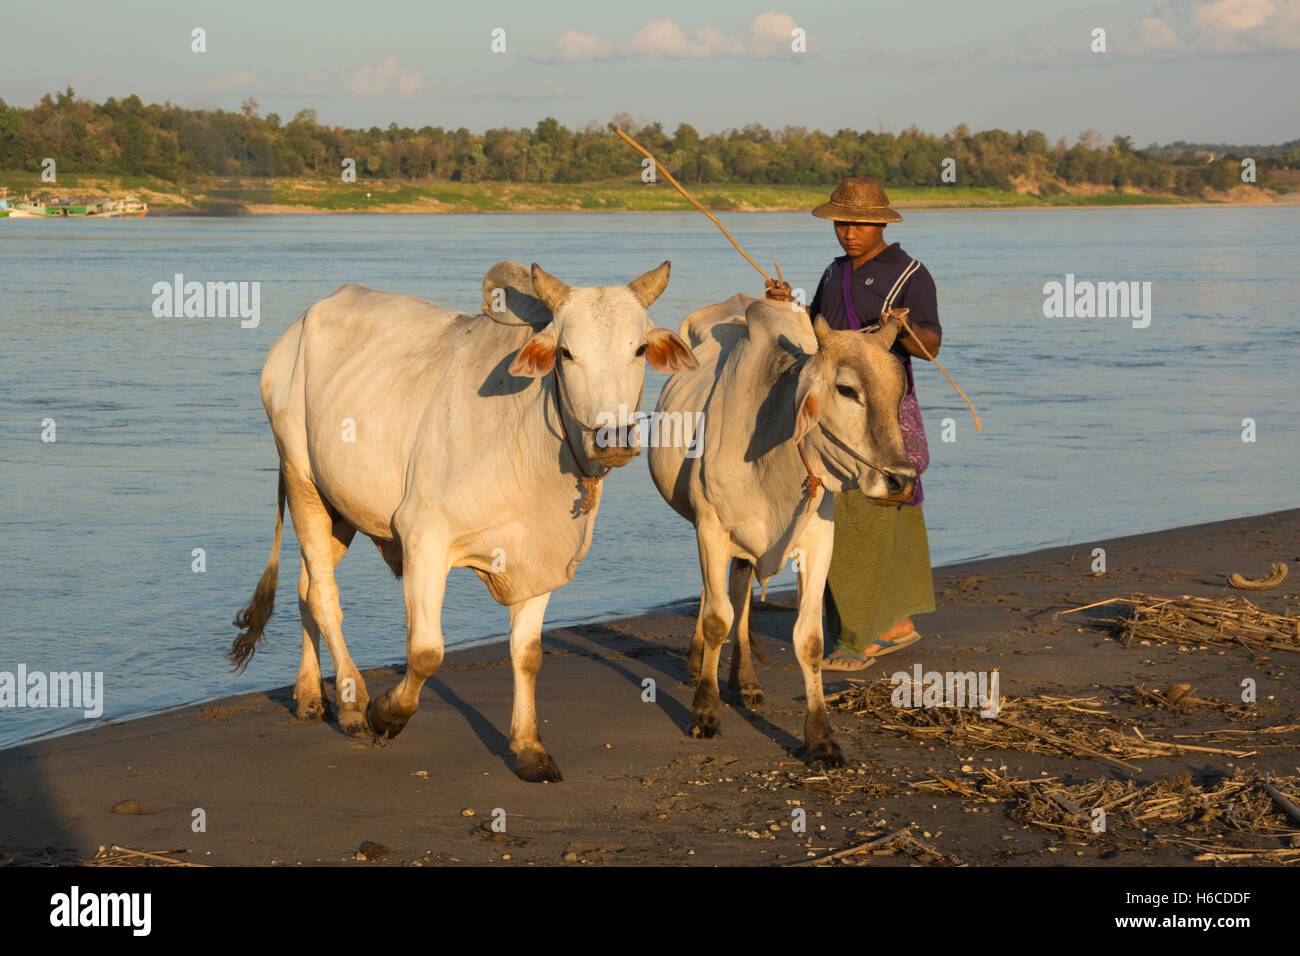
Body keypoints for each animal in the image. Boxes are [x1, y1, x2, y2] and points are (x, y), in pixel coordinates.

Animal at [233, 260, 702, 780]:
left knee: (305, 586)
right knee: (323, 596)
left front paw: (529, 748)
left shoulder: (538, 556)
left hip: (339, 507)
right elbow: (425, 652)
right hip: (303, 482)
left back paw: (310, 696)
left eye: (638, 349)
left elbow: (527, 655)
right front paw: (386, 714)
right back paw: (353, 706)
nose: (613, 437)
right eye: (566, 352)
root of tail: (300, 325)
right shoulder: (424, 540)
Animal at [650, 295, 915, 764]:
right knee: (714, 598)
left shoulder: (819, 541)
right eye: (847, 390)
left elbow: (807, 640)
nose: (900, 480)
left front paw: (821, 738)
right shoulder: (711, 530)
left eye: (899, 391)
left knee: (739, 594)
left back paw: (745, 682)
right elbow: (716, 619)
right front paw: (704, 713)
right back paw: (700, 663)